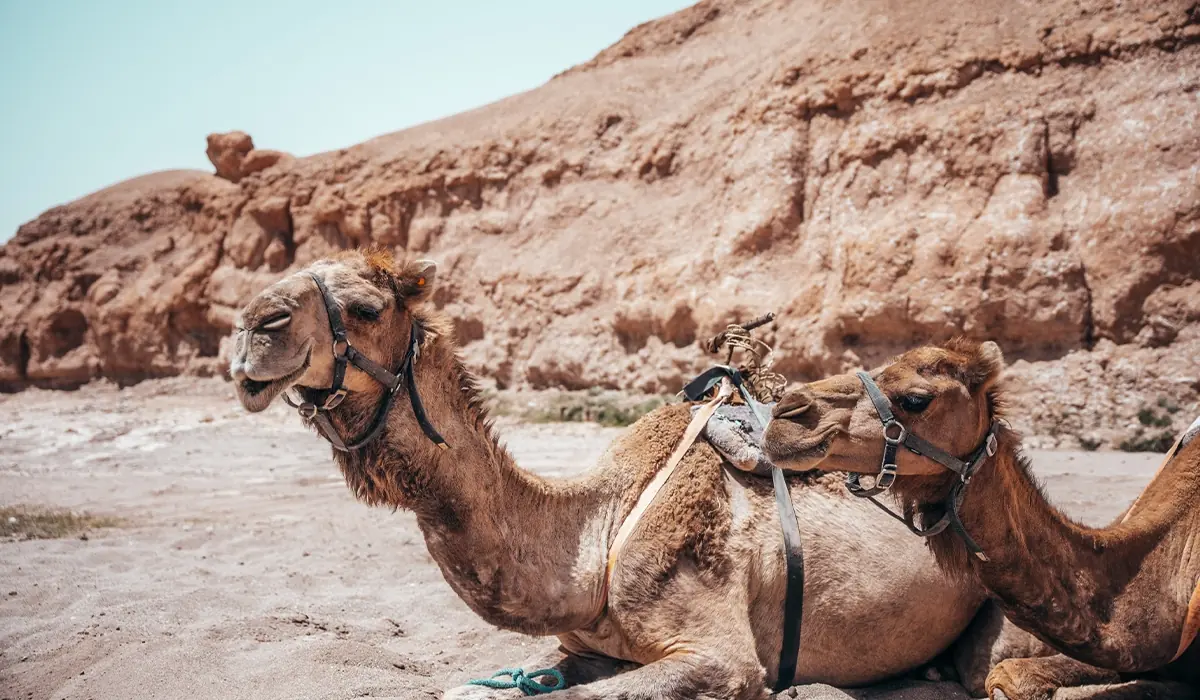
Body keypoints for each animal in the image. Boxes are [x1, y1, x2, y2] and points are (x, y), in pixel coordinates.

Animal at [229, 249, 1041, 698]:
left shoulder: (721, 655)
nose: (251, 328)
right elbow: (472, 690)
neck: (598, 535)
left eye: (366, 308)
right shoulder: (574, 646)